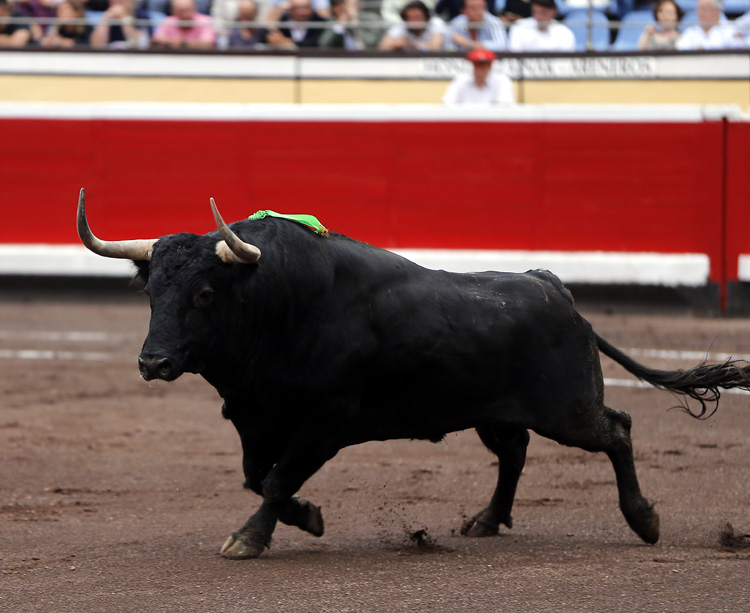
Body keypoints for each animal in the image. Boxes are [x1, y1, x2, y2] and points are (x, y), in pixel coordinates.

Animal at [76, 188, 750, 559]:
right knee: (515, 452)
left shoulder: (324, 425)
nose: (153, 362)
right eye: (152, 292)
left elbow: (274, 480)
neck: (278, 303)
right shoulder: (255, 418)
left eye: (204, 295)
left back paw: (644, 520)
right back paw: (485, 521)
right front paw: (307, 516)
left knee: (617, 429)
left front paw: (250, 539)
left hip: (567, 410)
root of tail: (554, 288)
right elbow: (257, 477)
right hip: (493, 411)